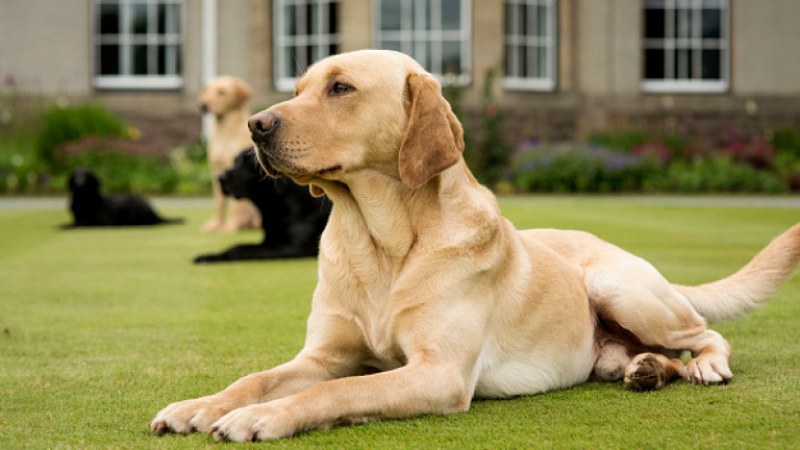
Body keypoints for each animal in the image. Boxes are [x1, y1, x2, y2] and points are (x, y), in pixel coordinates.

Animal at [194, 149, 332, 262]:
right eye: (234, 161)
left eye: (249, 164)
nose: (220, 177)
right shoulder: (267, 241)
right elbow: (240, 245)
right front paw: (207, 255)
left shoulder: (293, 247)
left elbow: (240, 250)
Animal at [199, 75, 260, 232]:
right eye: (206, 90)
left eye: (222, 92)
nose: (203, 105)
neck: (224, 132)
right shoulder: (216, 172)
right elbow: (219, 202)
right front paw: (216, 224)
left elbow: (235, 205)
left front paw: (230, 226)